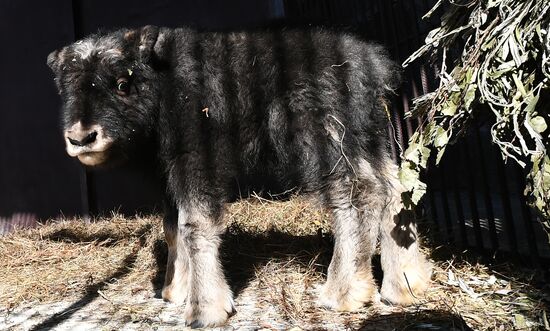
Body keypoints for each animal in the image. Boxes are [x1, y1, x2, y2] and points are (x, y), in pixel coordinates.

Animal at [47, 25, 434, 326]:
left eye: (122, 83)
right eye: (68, 88)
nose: (81, 137)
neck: (162, 83)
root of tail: (374, 65)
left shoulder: (197, 160)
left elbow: (195, 225)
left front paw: (204, 309)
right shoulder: (168, 175)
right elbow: (173, 227)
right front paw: (174, 290)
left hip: (326, 141)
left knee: (356, 194)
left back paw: (343, 293)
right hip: (370, 139)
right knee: (395, 188)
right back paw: (404, 285)